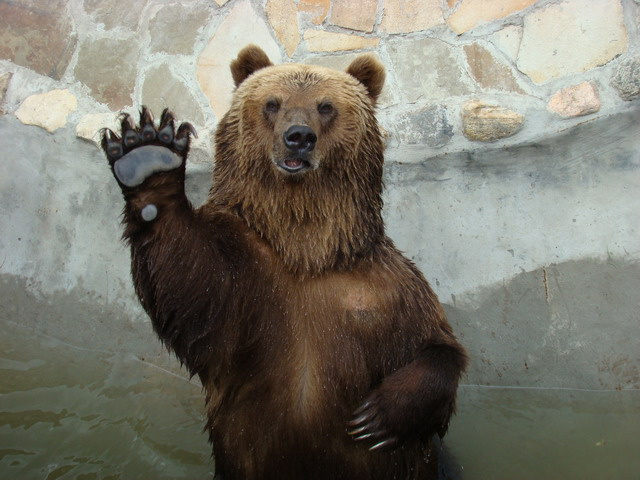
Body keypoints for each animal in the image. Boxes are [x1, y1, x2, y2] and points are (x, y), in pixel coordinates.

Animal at [101, 45, 468, 480]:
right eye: (272, 103)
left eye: (326, 106)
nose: (299, 138)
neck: (306, 252)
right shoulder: (243, 273)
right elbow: (192, 292)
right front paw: (147, 157)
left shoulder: (384, 290)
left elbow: (435, 346)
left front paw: (377, 417)